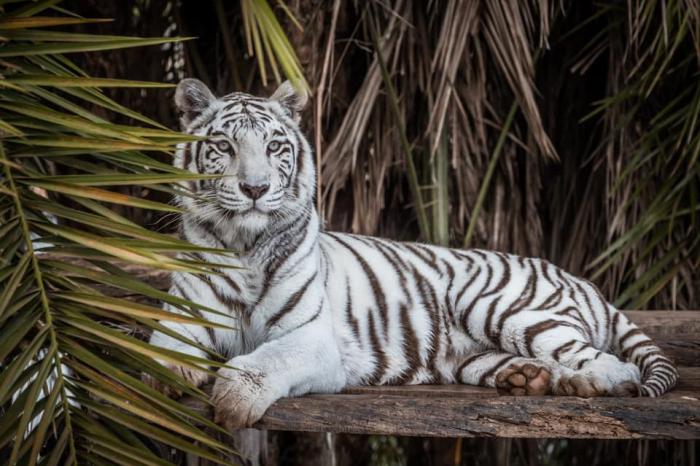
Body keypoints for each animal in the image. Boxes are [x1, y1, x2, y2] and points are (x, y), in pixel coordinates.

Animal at [146, 77, 680, 430]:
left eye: (275, 146)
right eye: (224, 147)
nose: (255, 189)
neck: (244, 246)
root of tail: (584, 282)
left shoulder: (311, 337)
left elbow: (263, 361)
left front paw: (233, 398)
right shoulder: (182, 318)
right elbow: (158, 351)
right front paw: (162, 376)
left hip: (504, 308)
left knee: (615, 364)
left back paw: (591, 385)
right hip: (471, 356)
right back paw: (532, 379)